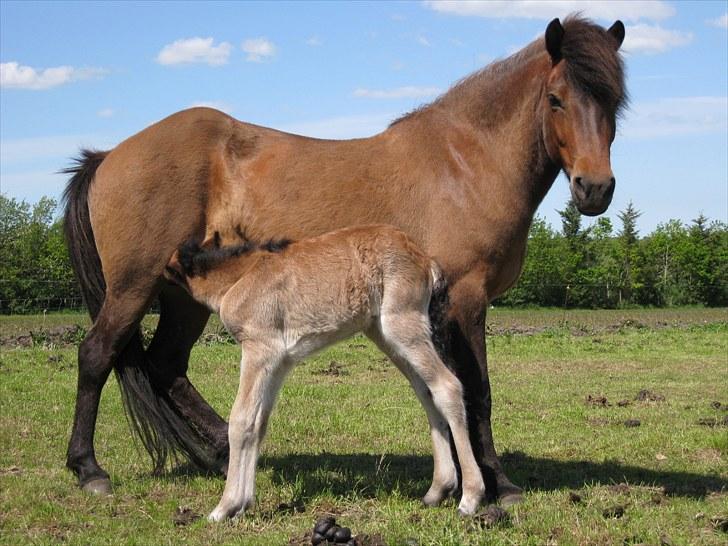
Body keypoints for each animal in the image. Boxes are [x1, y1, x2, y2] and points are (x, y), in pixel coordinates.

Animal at [168, 224, 486, 520]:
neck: (240, 278)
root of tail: (424, 259)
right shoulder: (279, 362)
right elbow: (259, 423)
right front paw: (243, 503)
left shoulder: (259, 350)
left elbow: (241, 420)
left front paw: (225, 506)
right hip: (385, 334)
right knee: (426, 391)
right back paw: (438, 489)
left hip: (403, 325)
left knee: (447, 386)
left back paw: (470, 497)